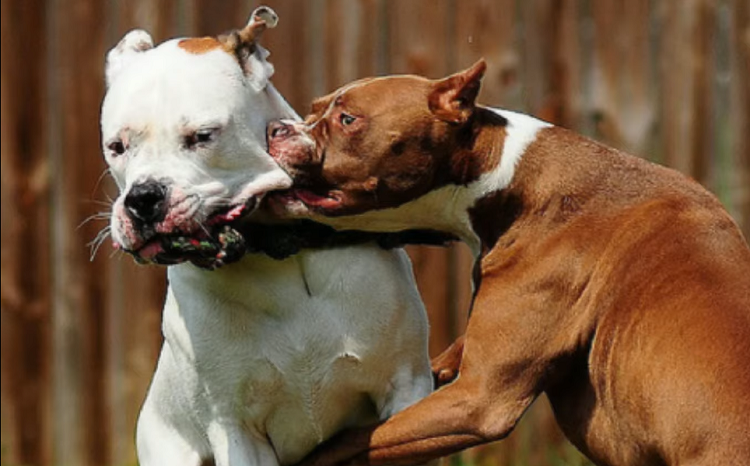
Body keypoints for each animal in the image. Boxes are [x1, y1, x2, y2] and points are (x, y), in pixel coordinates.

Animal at [98, 8, 434, 466]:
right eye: (116, 146)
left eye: (203, 136)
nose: (143, 198)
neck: (279, 255)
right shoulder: (237, 429)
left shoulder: (406, 387)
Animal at [266, 60, 750, 464]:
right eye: (312, 110)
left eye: (348, 119)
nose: (276, 129)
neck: (508, 182)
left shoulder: (477, 401)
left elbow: (342, 445)